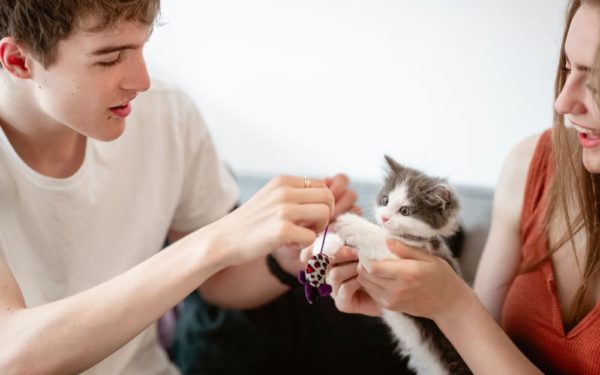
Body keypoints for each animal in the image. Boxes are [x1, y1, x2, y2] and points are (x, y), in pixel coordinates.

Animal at [316, 156, 472, 375]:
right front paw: (324, 242)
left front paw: (353, 223)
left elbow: (380, 241)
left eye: (404, 211)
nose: (384, 217)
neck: (406, 238)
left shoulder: (417, 258)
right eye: (385, 200)